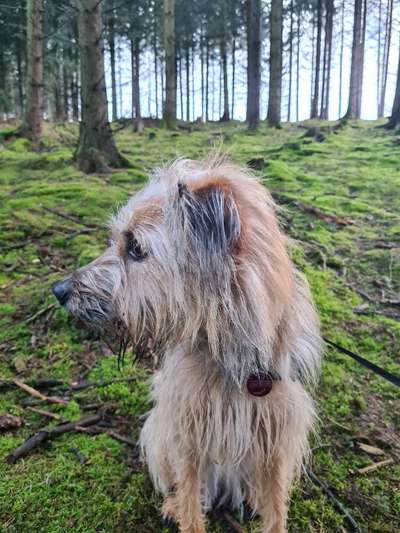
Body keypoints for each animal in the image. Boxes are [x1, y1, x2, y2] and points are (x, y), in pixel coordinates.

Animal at [54, 156, 322, 528]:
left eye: (135, 247)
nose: (59, 291)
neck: (227, 352)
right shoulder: (186, 436)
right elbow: (191, 502)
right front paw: (184, 512)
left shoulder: (276, 439)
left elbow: (277, 510)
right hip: (159, 432)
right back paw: (173, 505)